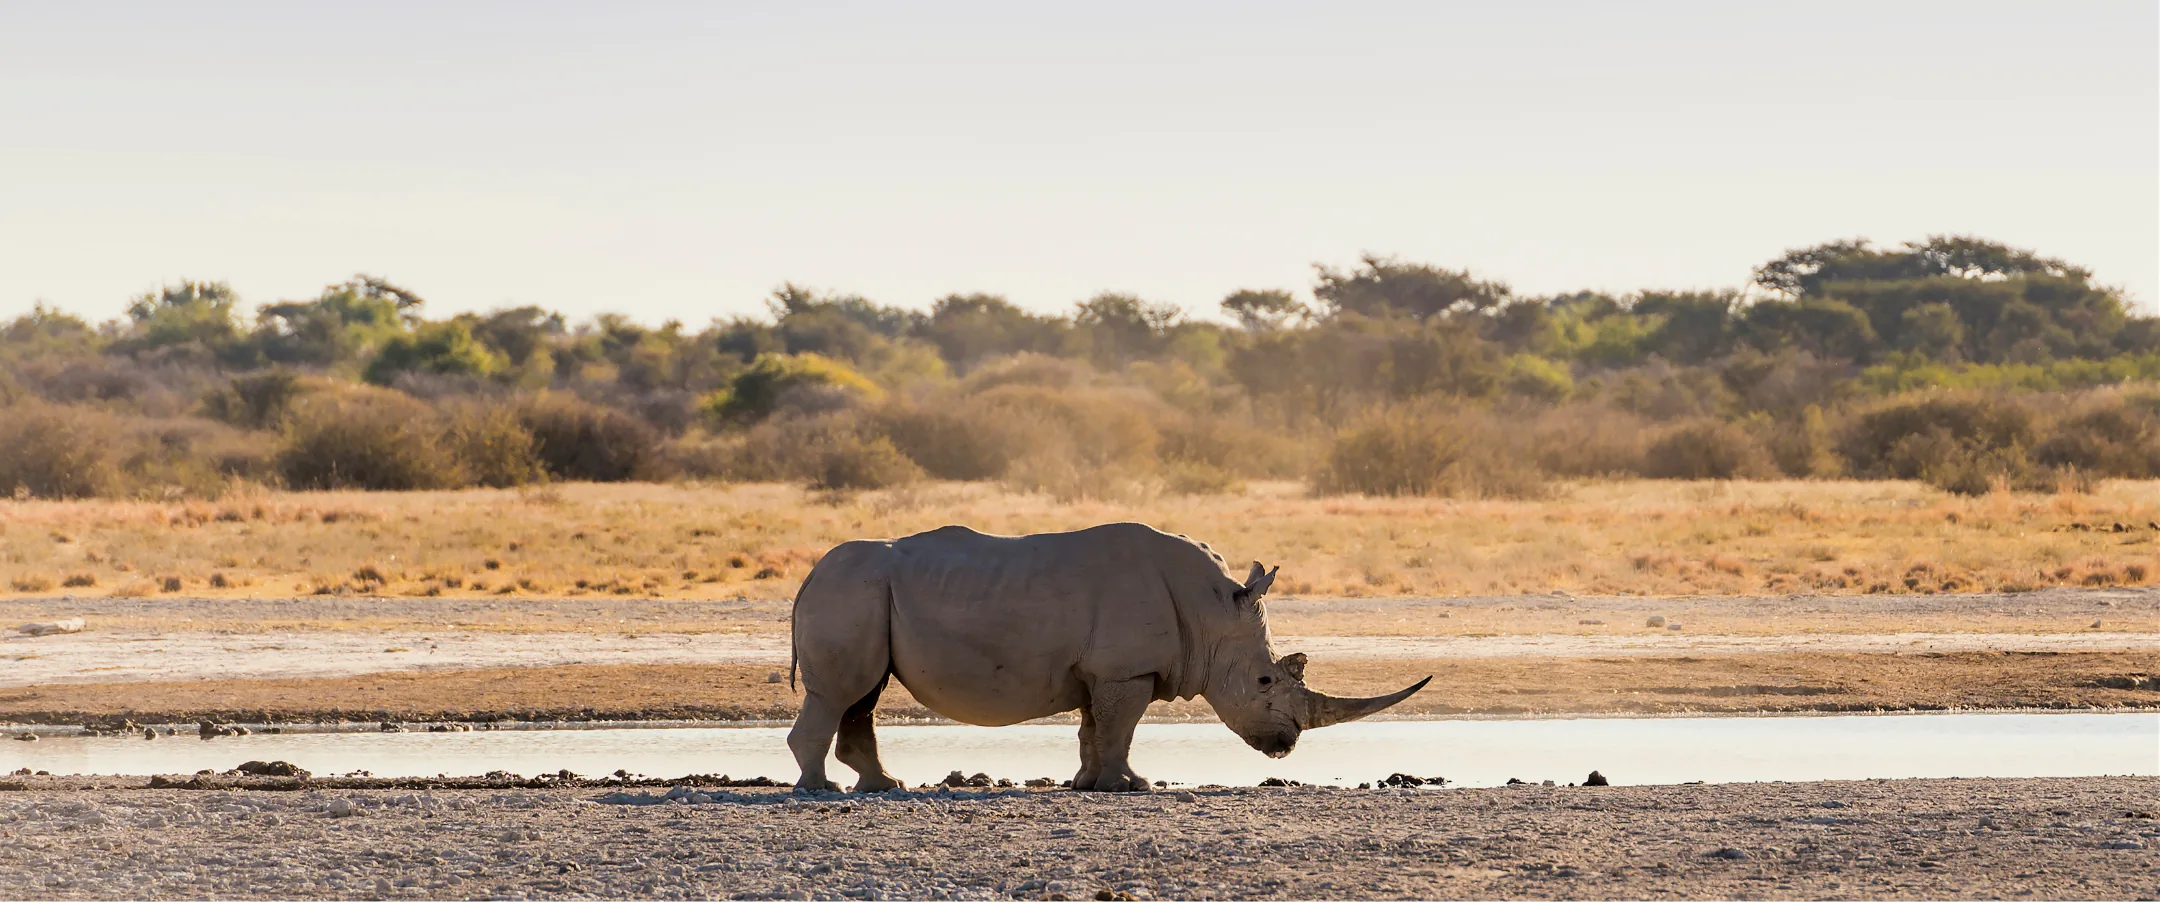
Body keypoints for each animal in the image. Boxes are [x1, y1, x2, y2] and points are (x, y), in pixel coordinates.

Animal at [786, 522, 1430, 792]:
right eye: (1267, 680)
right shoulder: (1127, 668)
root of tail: (808, 575)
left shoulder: (1102, 669)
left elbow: (1096, 727)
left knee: (862, 696)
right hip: (850, 593)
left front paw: (1087, 784)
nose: (1285, 746)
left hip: (863, 595)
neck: (1212, 613)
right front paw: (1134, 787)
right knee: (842, 693)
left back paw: (882, 786)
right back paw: (822, 792)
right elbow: (1121, 727)